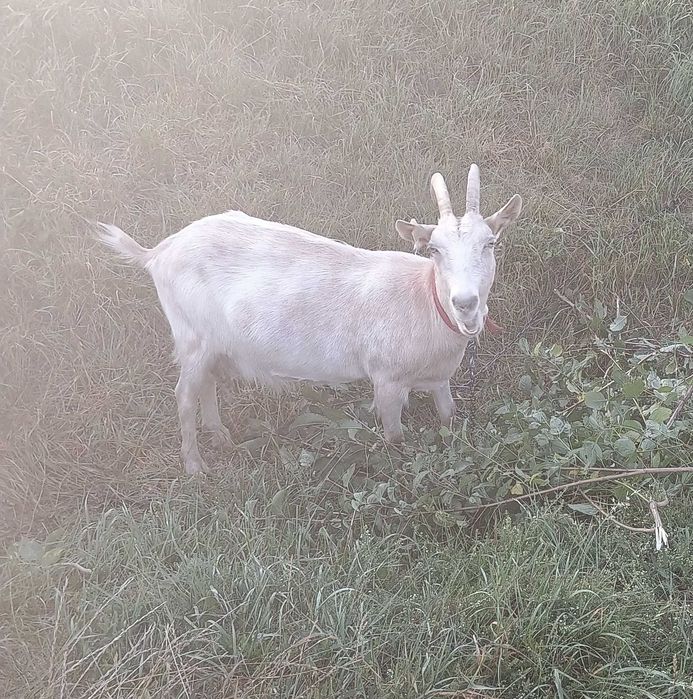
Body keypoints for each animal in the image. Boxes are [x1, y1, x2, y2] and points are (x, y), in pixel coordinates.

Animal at [98, 165, 522, 474]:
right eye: (433, 249)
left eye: (491, 243)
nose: (465, 303)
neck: (422, 299)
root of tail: (158, 252)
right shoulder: (386, 379)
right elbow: (395, 437)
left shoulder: (438, 378)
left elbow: (449, 417)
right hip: (192, 337)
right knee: (184, 395)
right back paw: (195, 465)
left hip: (212, 343)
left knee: (206, 383)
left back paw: (220, 436)